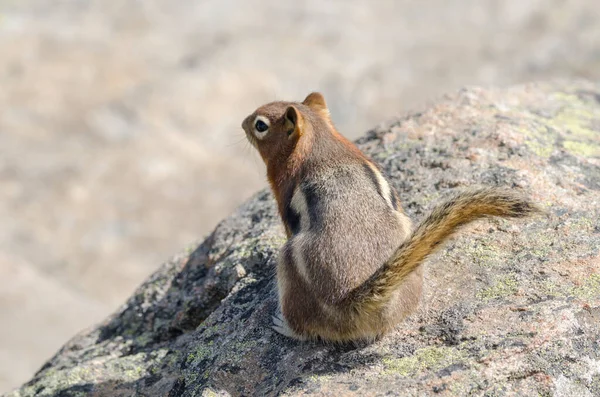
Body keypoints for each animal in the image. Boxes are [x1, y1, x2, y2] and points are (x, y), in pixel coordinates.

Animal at [240, 92, 540, 340]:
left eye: (260, 125)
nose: (242, 123)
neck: (318, 139)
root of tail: (351, 299)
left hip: (290, 263)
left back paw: (284, 326)